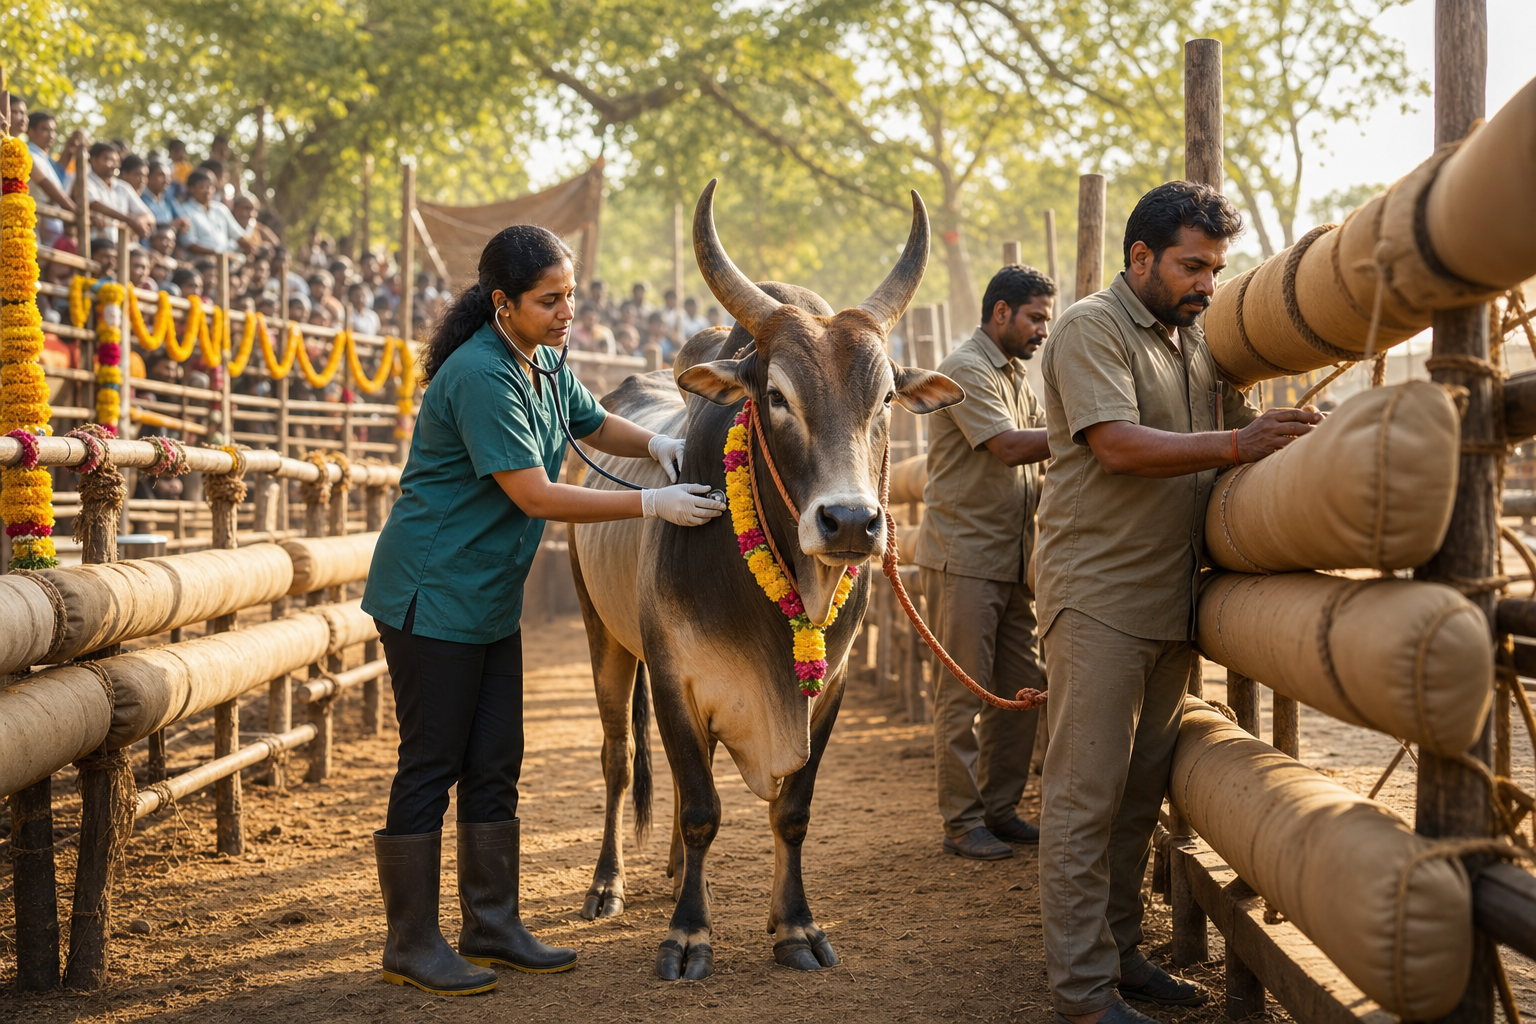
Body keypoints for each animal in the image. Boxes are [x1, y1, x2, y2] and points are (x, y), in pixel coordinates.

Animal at [567, 180, 964, 980]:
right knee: (620, 759)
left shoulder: (830, 688)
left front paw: (796, 928)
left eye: (884, 400)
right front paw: (689, 935)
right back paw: (608, 884)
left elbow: (791, 811)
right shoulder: (676, 679)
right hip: (604, 634)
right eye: (776, 395)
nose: (850, 522)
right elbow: (701, 809)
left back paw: (668, 873)